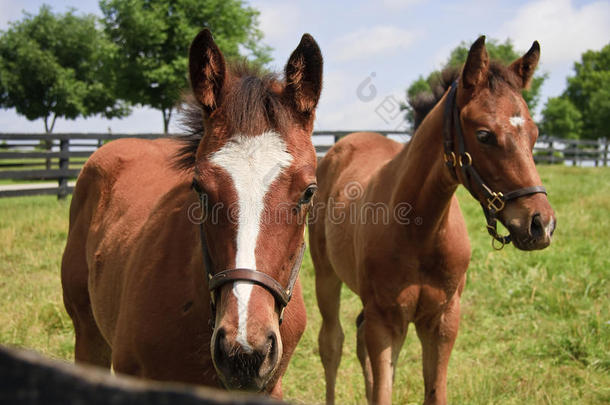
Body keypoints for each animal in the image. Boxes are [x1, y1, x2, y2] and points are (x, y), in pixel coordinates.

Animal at [312, 36, 552, 402]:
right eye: (484, 134)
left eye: (535, 133)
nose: (540, 223)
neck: (419, 231)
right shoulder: (387, 321)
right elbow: (382, 391)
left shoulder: (443, 320)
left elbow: (433, 392)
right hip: (325, 274)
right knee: (331, 343)